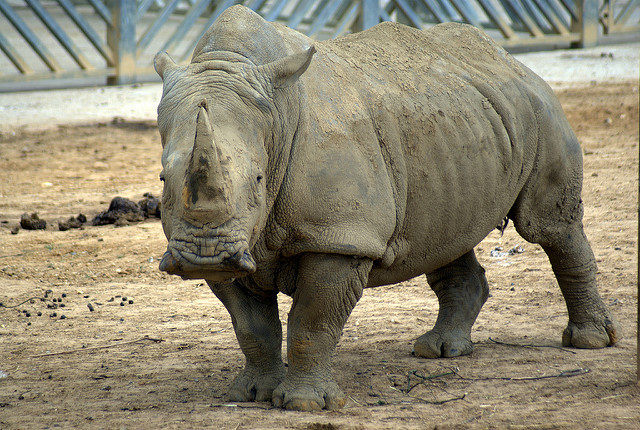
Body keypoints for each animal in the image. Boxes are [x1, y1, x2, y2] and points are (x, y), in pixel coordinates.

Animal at [154, 5, 619, 411]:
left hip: (540, 110)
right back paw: (440, 351)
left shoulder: (341, 236)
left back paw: (588, 342)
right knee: (446, 236)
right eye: (162, 182)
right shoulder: (240, 245)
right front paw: (251, 394)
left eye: (257, 180)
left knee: (548, 228)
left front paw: (304, 404)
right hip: (464, 124)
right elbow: (251, 326)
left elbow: (313, 321)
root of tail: (513, 61)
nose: (203, 256)